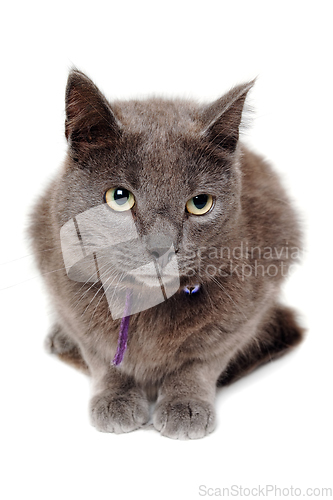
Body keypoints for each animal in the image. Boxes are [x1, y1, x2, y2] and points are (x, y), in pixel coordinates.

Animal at [29, 69, 302, 438]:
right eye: (119, 197)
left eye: (199, 203)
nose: (161, 248)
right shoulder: (64, 289)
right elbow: (100, 355)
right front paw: (116, 398)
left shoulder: (247, 308)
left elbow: (201, 361)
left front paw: (184, 405)